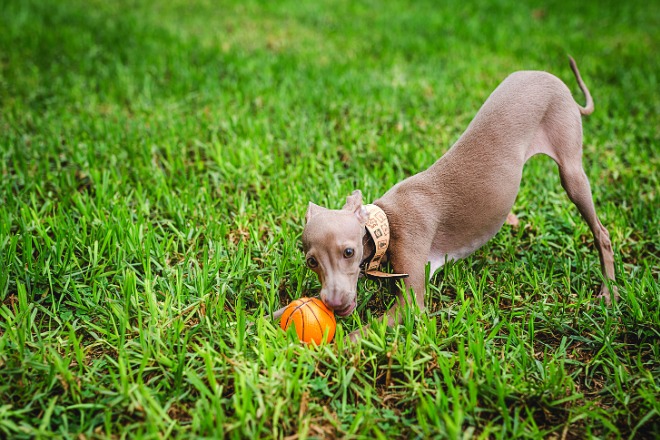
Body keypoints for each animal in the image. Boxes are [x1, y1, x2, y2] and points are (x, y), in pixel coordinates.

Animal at [274, 57, 612, 340]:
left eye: (348, 252)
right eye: (311, 261)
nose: (333, 303)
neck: (386, 221)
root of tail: (557, 82)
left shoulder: (411, 300)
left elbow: (356, 336)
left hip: (571, 171)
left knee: (602, 232)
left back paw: (609, 293)